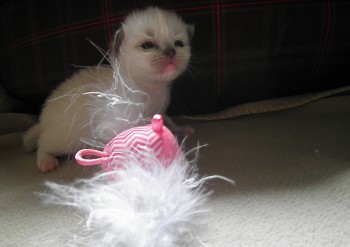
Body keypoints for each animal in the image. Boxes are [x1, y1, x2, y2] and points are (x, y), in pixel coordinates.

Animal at [23, 7, 194, 174]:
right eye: (147, 45)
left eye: (178, 44)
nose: (171, 52)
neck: (150, 87)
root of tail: (43, 120)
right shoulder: (118, 118)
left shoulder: (158, 111)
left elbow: (168, 120)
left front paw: (181, 129)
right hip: (63, 139)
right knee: (42, 145)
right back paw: (46, 161)